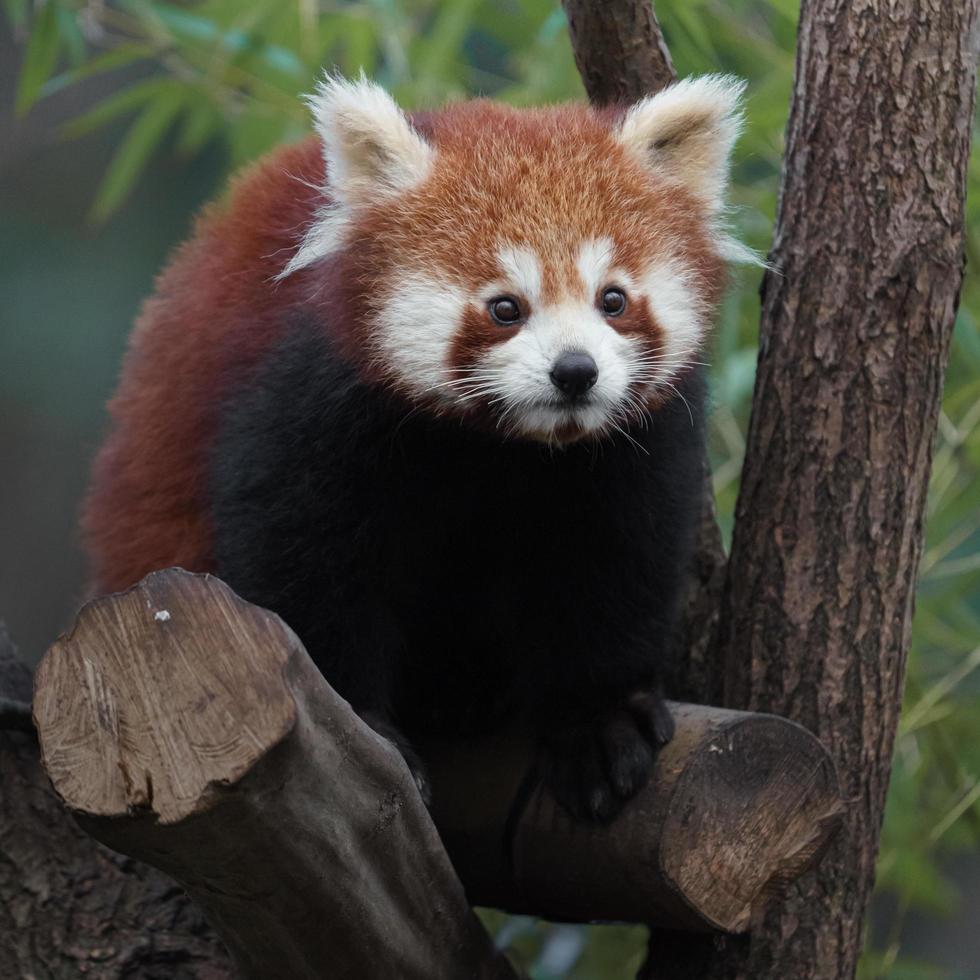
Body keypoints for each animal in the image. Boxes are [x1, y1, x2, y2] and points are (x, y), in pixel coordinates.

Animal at [84, 74, 752, 820]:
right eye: (505, 308)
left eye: (613, 299)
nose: (576, 371)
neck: (506, 444)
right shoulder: (312, 402)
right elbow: (303, 562)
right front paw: (359, 721)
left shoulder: (630, 449)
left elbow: (613, 562)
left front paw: (597, 721)